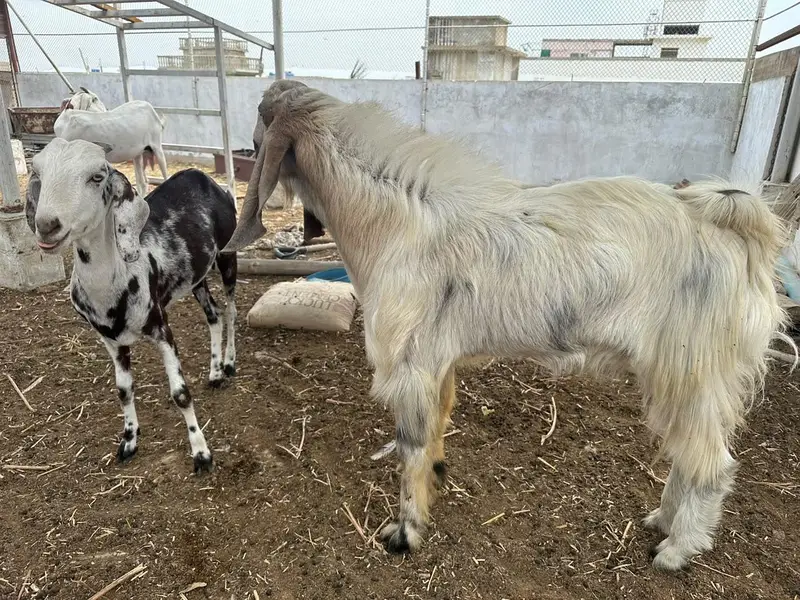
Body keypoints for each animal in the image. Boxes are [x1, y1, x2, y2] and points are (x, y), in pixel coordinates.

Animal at [26, 138, 238, 474]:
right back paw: (215, 373)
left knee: (230, 309)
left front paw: (202, 454)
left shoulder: (162, 328)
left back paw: (229, 363)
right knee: (213, 315)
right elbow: (124, 391)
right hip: (196, 277)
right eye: (38, 172)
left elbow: (181, 394)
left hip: (228, 254)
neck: (115, 282)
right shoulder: (111, 341)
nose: (46, 225)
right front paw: (129, 441)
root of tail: (204, 178)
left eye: (97, 176)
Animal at [224, 79, 793, 570]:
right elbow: (437, 423)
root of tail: (739, 230)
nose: (245, 153)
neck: (393, 221)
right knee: (686, 455)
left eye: (256, 131)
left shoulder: (409, 363)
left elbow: (410, 446)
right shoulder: (438, 359)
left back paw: (676, 549)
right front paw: (438, 474)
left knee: (710, 463)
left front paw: (404, 533)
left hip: (690, 367)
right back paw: (660, 520)